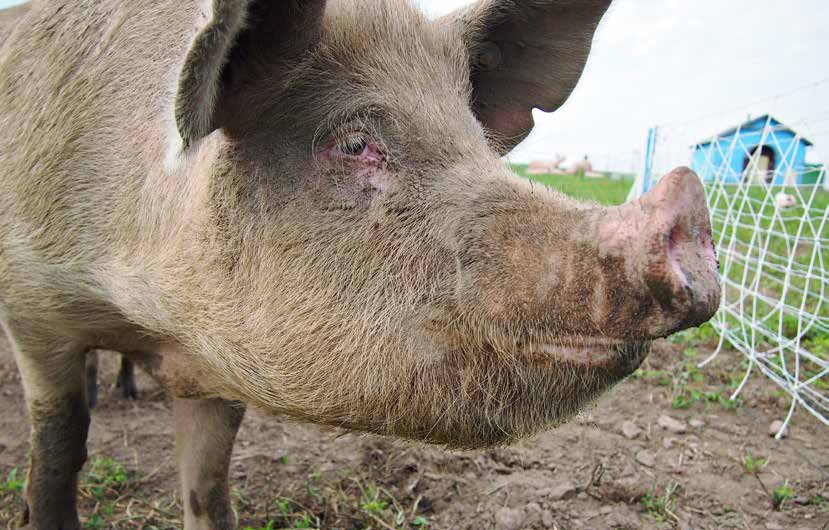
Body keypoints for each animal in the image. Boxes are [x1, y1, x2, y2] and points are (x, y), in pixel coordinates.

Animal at [0, 0, 720, 524]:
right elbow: (59, 447)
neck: (156, 315)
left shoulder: (217, 366)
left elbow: (207, 485)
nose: (686, 198)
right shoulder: (32, 306)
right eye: (353, 143)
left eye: (477, 139)